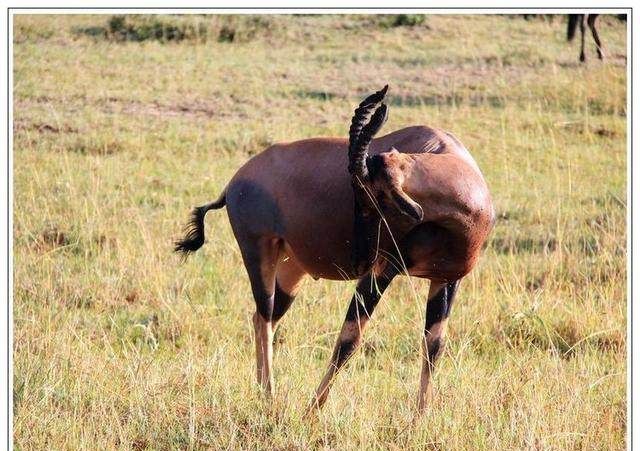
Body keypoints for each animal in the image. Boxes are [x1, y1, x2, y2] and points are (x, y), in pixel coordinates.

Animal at [175, 86, 496, 414]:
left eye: (372, 197)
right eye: (360, 194)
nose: (360, 259)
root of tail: (233, 183)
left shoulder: (445, 279)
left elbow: (433, 346)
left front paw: (419, 418)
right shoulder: (382, 271)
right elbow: (349, 340)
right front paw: (310, 412)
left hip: (292, 268)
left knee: (264, 318)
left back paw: (265, 395)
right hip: (257, 252)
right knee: (264, 317)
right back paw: (270, 399)